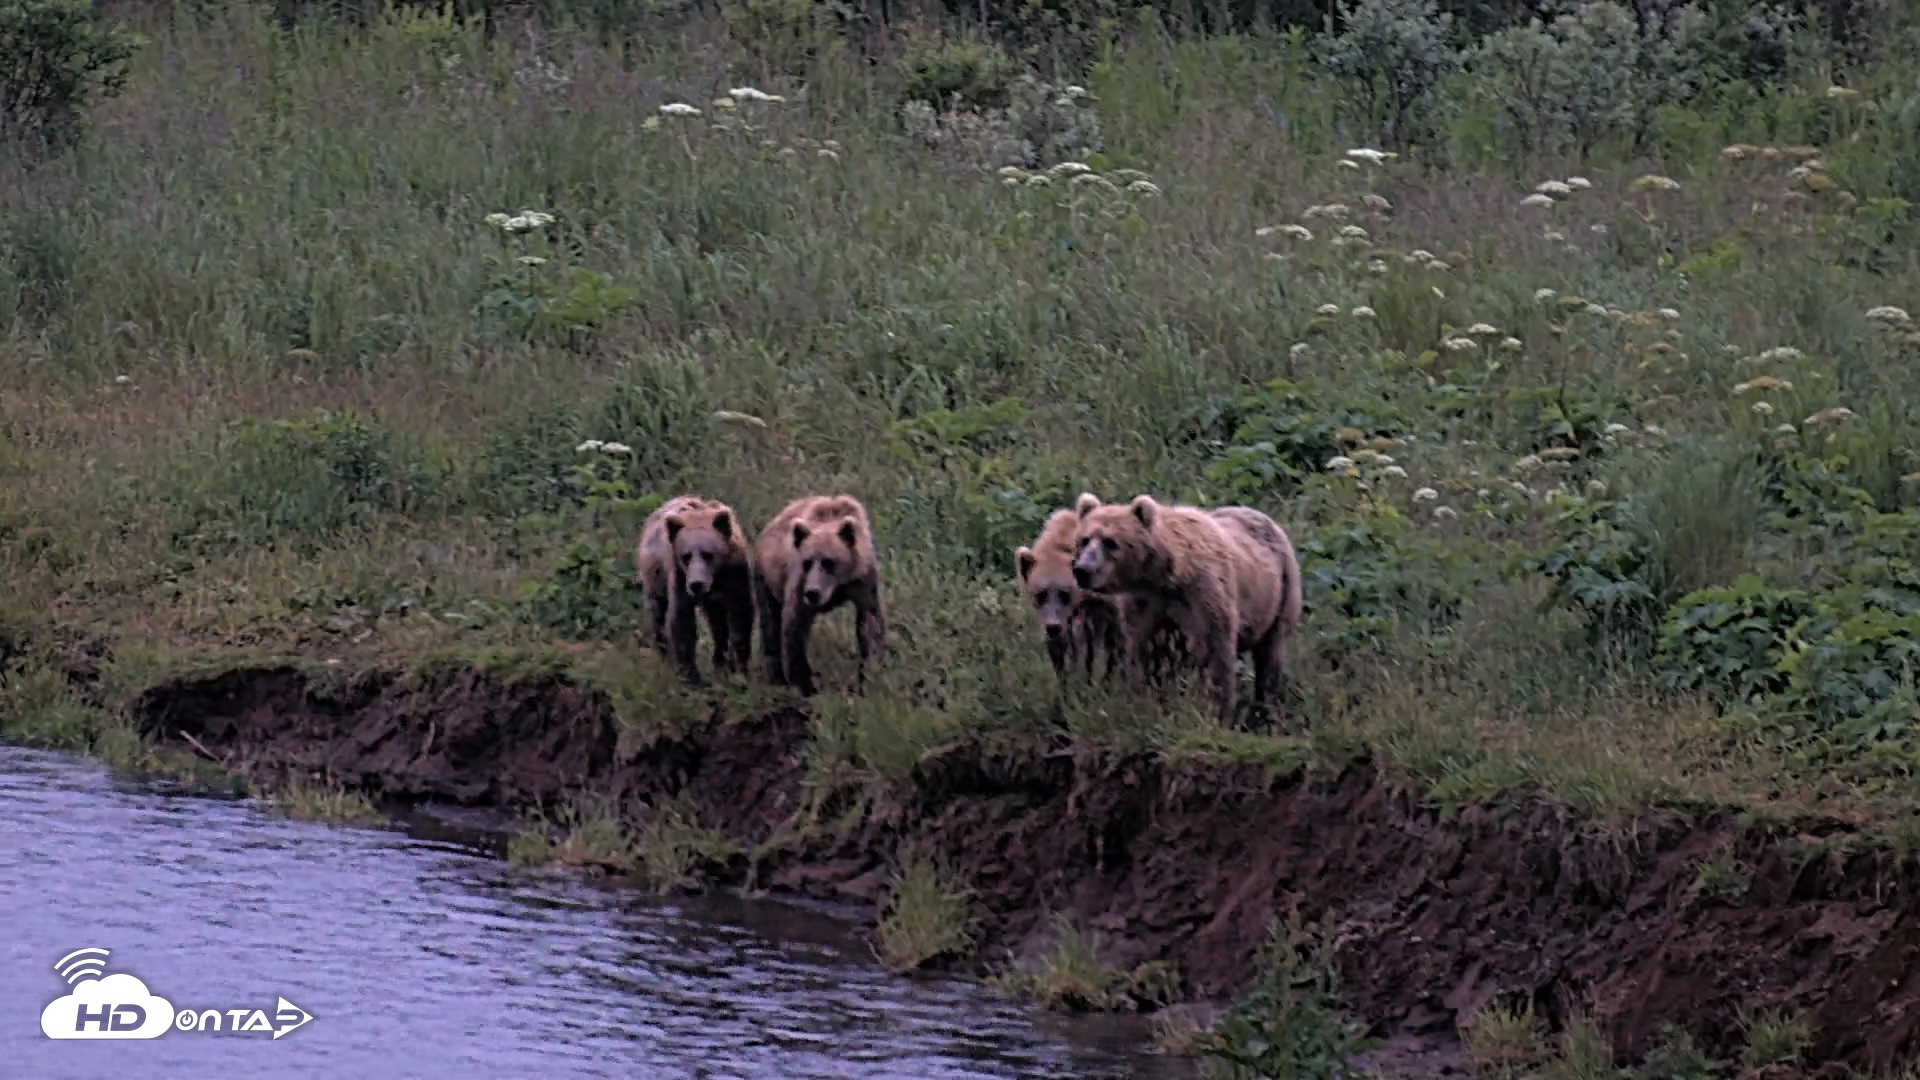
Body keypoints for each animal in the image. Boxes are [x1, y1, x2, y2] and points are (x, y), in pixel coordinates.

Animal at [637, 495, 756, 686]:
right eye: (686, 557)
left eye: (708, 554)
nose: (696, 584)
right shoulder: (679, 577)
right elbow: (681, 620)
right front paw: (690, 676)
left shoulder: (735, 575)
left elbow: (740, 615)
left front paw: (739, 669)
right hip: (655, 577)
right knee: (658, 614)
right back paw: (664, 655)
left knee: (718, 625)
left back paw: (720, 661)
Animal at [754, 494, 887, 697]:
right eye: (807, 562)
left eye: (829, 562)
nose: (812, 593)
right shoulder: (799, 582)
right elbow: (795, 625)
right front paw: (804, 685)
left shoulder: (864, 581)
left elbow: (870, 624)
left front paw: (870, 676)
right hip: (766, 578)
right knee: (770, 623)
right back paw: (776, 676)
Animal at [1070, 492, 1303, 725]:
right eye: (1084, 539)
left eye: (1110, 542)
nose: (1082, 570)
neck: (1165, 575)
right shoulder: (1147, 606)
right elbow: (1146, 655)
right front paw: (1146, 703)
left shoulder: (1203, 597)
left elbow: (1215, 656)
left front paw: (1217, 714)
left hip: (1280, 593)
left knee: (1270, 655)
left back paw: (1265, 711)